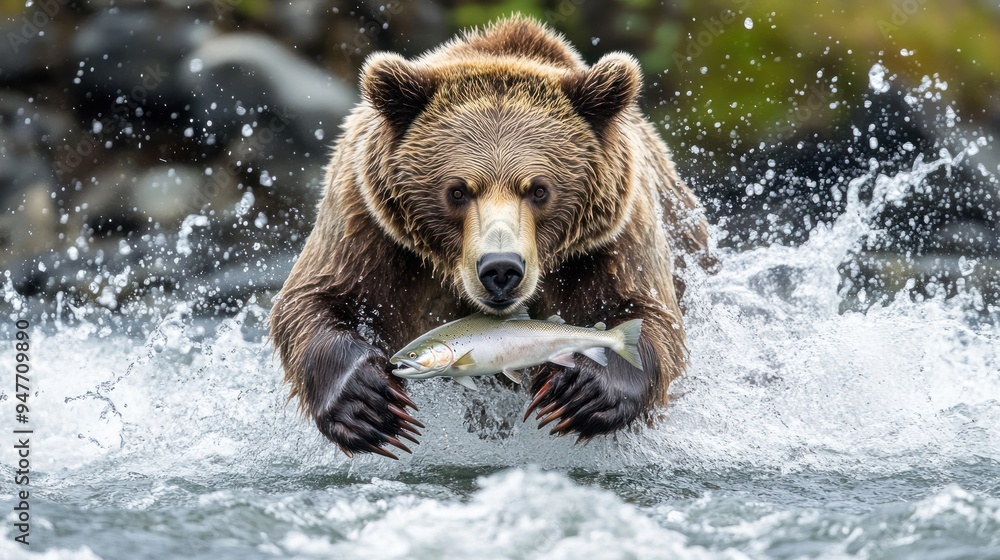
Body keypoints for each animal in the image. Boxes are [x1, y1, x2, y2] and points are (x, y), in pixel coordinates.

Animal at [269, 15, 715, 458]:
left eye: (539, 189)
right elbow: (314, 299)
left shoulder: (614, 236)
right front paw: (369, 403)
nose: (501, 269)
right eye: (457, 191)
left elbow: (649, 312)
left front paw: (581, 392)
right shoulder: (368, 224)